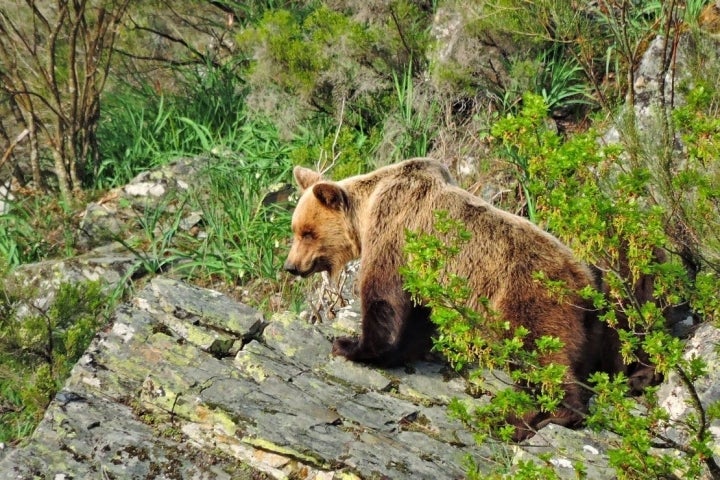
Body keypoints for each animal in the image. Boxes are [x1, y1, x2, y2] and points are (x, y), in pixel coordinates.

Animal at [284, 158, 616, 438]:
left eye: (308, 232)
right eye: (296, 229)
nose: (291, 266)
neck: (366, 211)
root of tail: (586, 283)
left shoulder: (396, 228)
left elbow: (383, 296)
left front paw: (350, 345)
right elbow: (416, 315)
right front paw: (401, 352)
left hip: (531, 299)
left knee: (539, 356)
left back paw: (537, 417)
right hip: (587, 327)